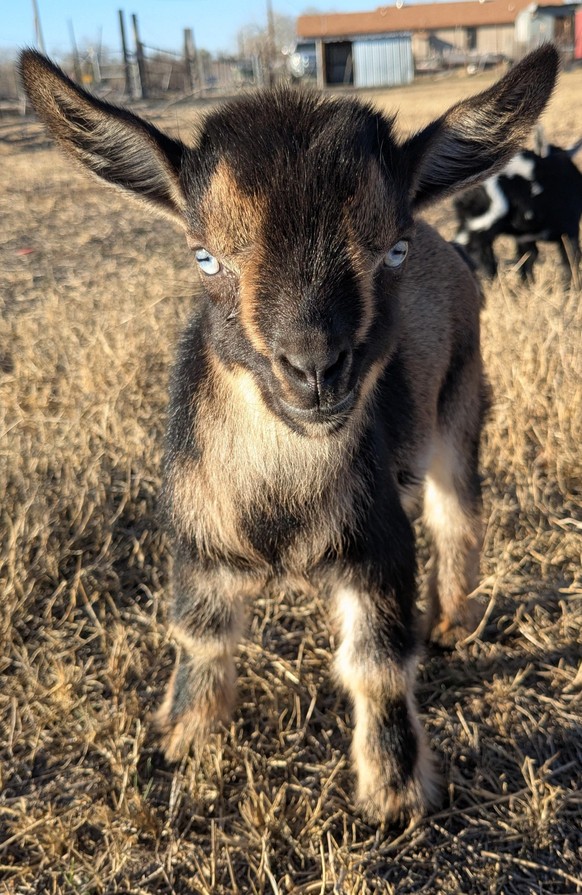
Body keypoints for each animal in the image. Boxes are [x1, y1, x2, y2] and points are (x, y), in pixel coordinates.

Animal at [20, 46, 558, 823]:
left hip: (461, 404)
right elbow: (200, 638)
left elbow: (377, 666)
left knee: (459, 516)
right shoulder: (198, 542)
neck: (278, 507)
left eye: (392, 250)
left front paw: (393, 795)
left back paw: (451, 624)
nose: (314, 369)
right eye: (204, 256)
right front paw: (183, 738)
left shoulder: (378, 545)